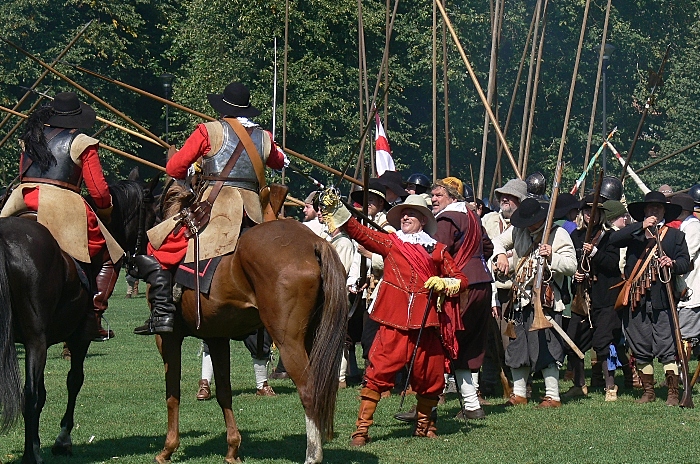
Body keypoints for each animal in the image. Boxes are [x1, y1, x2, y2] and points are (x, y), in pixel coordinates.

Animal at [154, 183, 348, 462]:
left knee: (309, 390)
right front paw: (232, 448)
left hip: (288, 341)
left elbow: (172, 394)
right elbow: (224, 392)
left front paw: (168, 448)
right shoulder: (216, 337)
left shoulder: (167, 337)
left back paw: (313, 455)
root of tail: (314, 242)